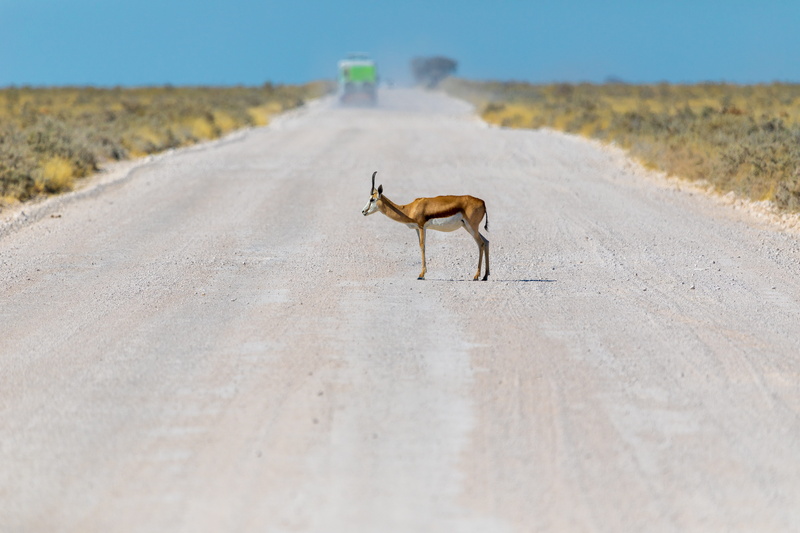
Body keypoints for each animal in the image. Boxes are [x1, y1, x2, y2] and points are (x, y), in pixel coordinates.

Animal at [361, 171, 489, 281]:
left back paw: (476, 276)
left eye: (372, 199)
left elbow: (422, 246)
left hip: (472, 227)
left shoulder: (422, 227)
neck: (409, 209)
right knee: (486, 241)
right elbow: (420, 245)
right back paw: (485, 276)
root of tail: (483, 202)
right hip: (468, 227)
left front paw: (421, 275)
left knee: (481, 244)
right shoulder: (417, 229)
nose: (363, 211)